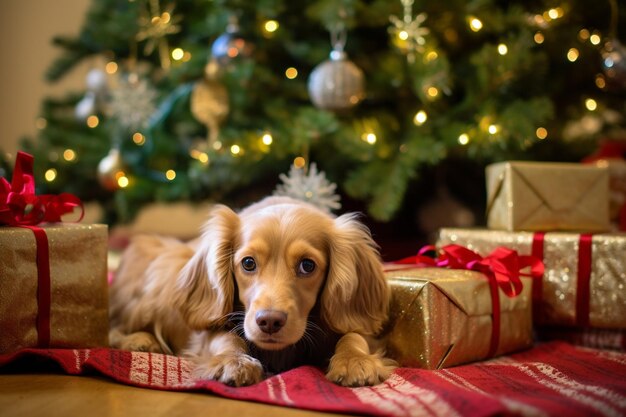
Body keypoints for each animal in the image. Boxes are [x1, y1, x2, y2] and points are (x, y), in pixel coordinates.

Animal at [106, 197, 390, 386]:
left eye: (307, 265)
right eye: (248, 263)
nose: (269, 322)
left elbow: (354, 335)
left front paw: (355, 361)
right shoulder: (210, 330)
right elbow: (225, 338)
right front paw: (234, 362)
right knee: (113, 326)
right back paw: (139, 340)